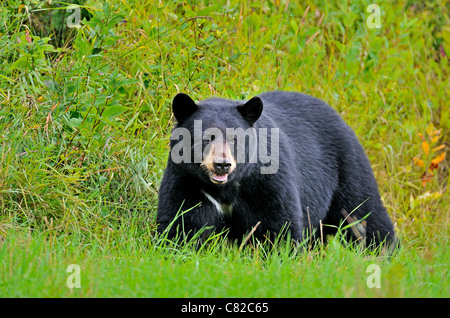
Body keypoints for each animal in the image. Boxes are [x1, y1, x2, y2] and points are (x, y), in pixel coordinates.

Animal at [157, 90, 398, 251]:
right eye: (206, 138)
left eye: (235, 139)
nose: (222, 164)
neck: (226, 188)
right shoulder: (187, 180)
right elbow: (182, 221)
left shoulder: (266, 180)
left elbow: (278, 223)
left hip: (347, 166)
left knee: (363, 213)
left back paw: (383, 252)